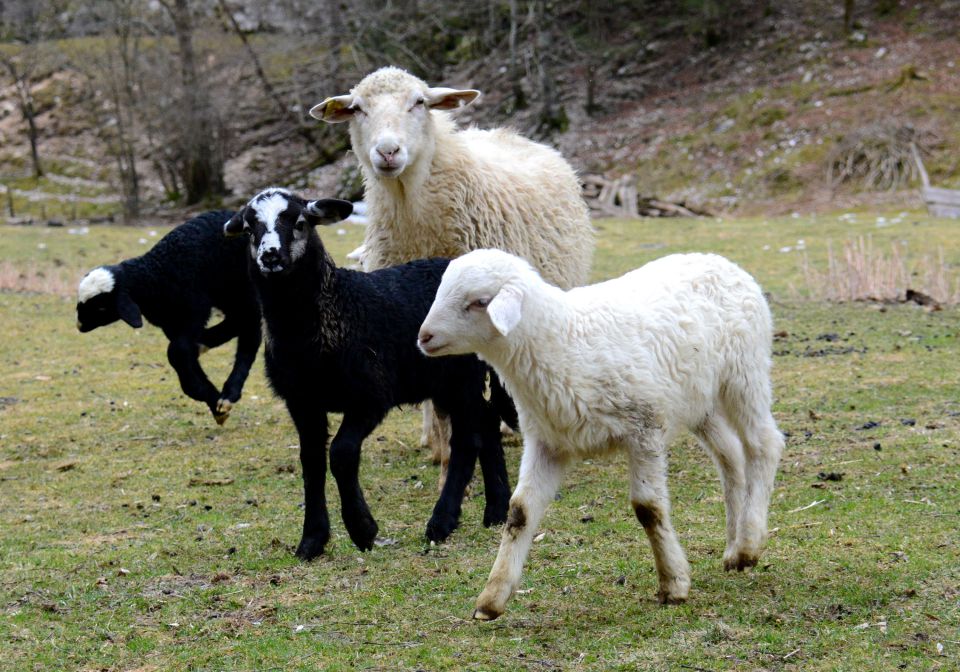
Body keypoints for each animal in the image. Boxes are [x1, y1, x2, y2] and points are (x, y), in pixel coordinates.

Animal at [77, 209, 260, 426]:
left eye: (101, 307)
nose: (79, 325)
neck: (156, 274)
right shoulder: (171, 323)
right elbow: (183, 356)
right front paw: (212, 402)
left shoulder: (193, 311)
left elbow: (176, 352)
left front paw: (215, 402)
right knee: (239, 321)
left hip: (244, 289)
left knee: (250, 328)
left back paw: (229, 393)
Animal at [226, 186, 512, 560]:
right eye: (249, 229)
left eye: (300, 222)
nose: (270, 256)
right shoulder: (302, 401)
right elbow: (311, 461)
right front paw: (312, 540)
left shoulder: (370, 395)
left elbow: (341, 454)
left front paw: (362, 529)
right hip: (448, 379)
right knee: (488, 423)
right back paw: (496, 511)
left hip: (461, 374)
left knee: (467, 439)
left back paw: (442, 522)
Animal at [310, 65, 592, 470]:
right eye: (358, 109)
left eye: (419, 103)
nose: (388, 151)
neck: (411, 210)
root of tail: (510, 134)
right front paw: (440, 445)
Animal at [416, 251, 784, 620]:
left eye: (479, 302)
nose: (423, 337)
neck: (563, 342)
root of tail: (719, 261)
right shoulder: (546, 441)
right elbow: (520, 512)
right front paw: (492, 598)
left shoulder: (644, 427)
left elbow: (648, 508)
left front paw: (673, 583)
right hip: (699, 401)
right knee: (730, 456)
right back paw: (734, 548)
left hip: (744, 374)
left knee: (763, 443)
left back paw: (749, 541)